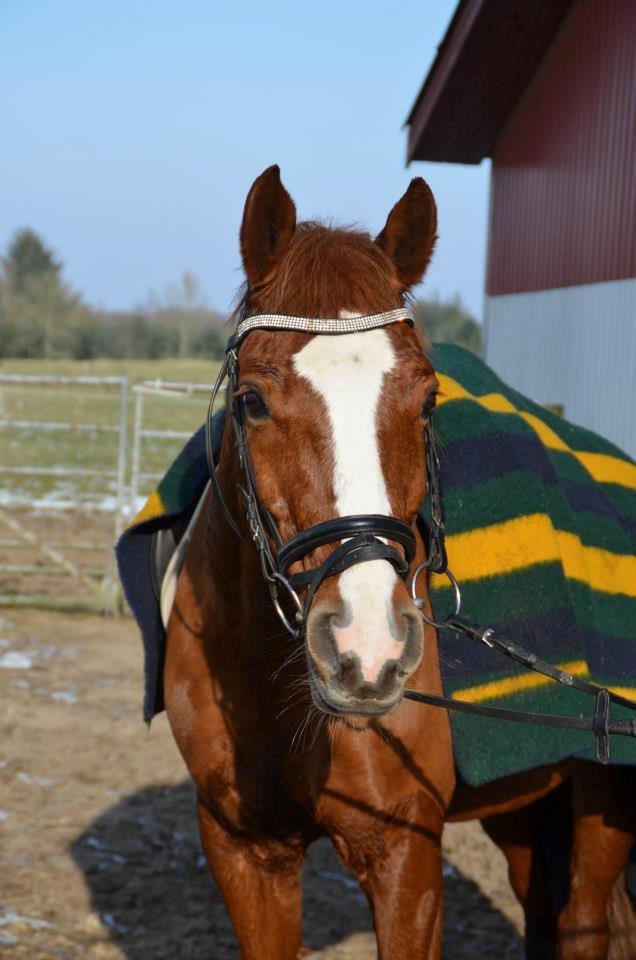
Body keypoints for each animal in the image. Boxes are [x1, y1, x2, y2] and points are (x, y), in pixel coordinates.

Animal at [161, 167, 632, 960]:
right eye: (251, 401)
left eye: (428, 401)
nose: (367, 648)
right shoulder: (244, 853)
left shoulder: (403, 857)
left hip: (602, 798)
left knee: (585, 923)